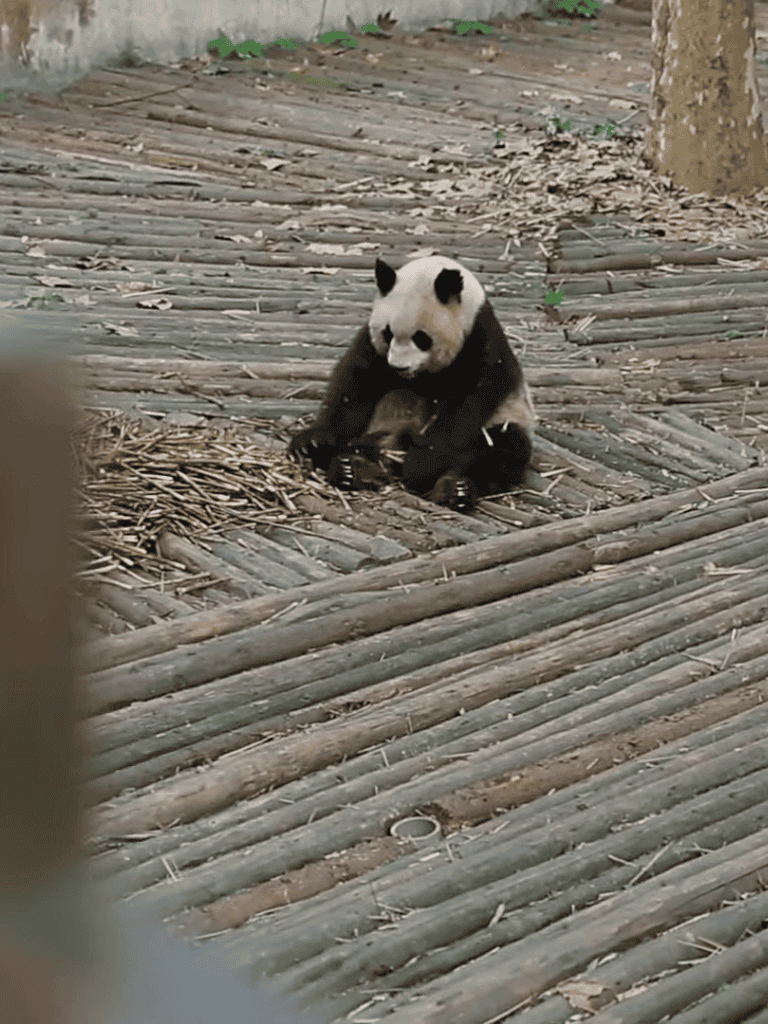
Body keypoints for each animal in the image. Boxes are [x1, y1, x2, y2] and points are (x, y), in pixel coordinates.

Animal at [288, 254, 536, 512]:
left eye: (421, 338)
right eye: (388, 333)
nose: (398, 367)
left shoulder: (482, 343)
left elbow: (468, 404)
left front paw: (422, 465)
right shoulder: (373, 347)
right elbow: (353, 386)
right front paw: (313, 442)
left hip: (506, 421)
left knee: (503, 449)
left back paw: (454, 488)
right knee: (369, 442)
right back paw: (354, 468)